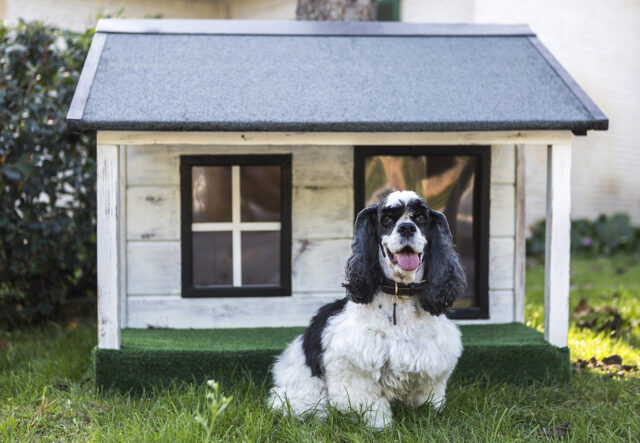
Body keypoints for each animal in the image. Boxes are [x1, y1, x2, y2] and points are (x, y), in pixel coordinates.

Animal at [268, 192, 464, 430]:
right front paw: (380, 426)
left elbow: (427, 398)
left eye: (420, 218)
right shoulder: (354, 366)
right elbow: (371, 403)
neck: (400, 294)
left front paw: (428, 417)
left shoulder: (432, 364)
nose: (407, 228)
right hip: (301, 389)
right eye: (387, 220)